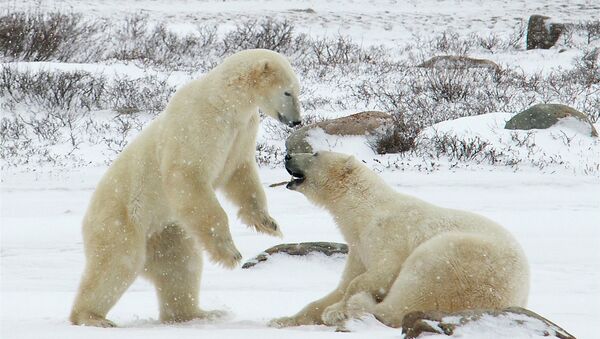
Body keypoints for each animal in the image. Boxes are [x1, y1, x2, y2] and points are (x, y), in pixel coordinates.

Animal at [71, 49, 302, 328]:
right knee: (117, 263)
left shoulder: (242, 130)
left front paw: (268, 224)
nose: (297, 121)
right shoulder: (199, 124)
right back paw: (92, 317)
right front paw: (230, 253)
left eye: (297, 90)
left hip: (167, 230)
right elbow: (187, 174)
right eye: (288, 92)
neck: (225, 101)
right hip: (121, 220)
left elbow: (240, 173)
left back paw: (199, 313)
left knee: (180, 265)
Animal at [272, 151, 528, 330]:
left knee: (408, 296)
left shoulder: (387, 234)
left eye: (315, 153)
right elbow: (342, 285)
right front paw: (280, 320)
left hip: (458, 264)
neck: (364, 211)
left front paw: (336, 309)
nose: (288, 155)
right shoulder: (359, 248)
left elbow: (379, 274)